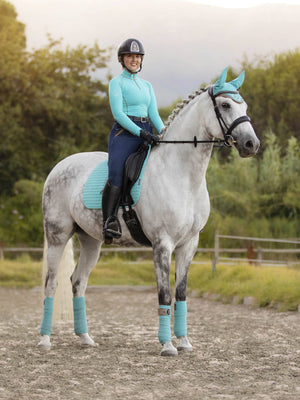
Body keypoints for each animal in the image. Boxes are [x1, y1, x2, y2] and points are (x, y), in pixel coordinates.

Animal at [38, 68, 260, 356]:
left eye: (244, 106)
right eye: (225, 105)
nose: (251, 144)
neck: (183, 175)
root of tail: (59, 166)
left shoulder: (189, 244)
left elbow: (181, 293)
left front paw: (184, 342)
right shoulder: (162, 244)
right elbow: (164, 293)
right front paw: (167, 345)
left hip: (90, 241)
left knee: (78, 281)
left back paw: (85, 338)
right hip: (58, 235)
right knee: (52, 282)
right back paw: (45, 340)